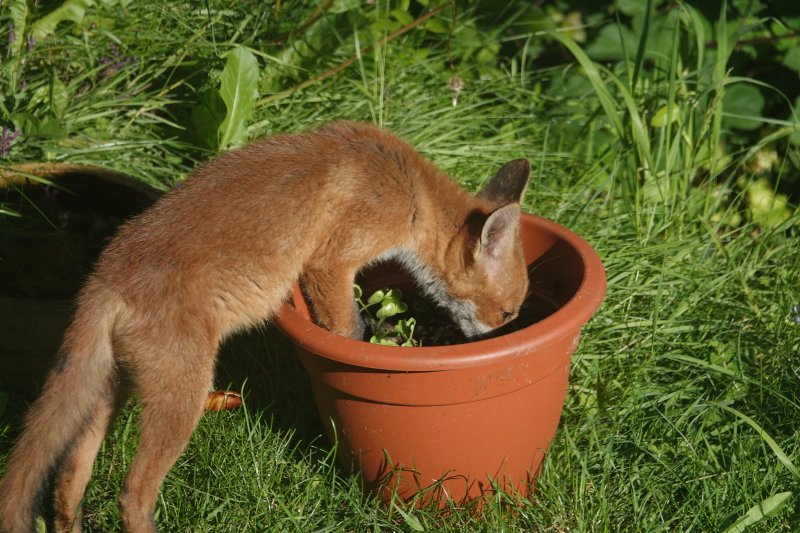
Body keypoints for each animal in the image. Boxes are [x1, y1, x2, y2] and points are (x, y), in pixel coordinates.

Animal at [0, 120, 530, 533]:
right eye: (508, 314)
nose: (512, 340)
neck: (409, 189)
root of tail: (103, 277)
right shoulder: (331, 262)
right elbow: (346, 331)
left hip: (110, 390)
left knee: (68, 482)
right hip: (183, 396)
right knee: (132, 494)